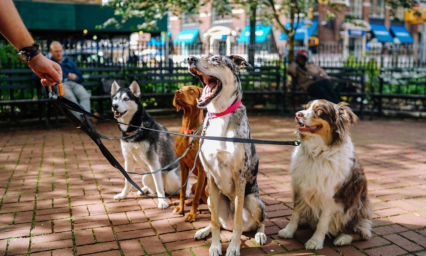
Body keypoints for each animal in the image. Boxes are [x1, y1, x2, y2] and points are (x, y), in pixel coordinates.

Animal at [110, 81, 181, 209]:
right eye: (115, 98)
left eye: (126, 99)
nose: (115, 106)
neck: (135, 129)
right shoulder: (128, 159)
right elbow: (127, 180)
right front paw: (123, 195)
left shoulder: (153, 161)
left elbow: (158, 185)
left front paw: (162, 202)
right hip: (146, 176)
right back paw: (144, 190)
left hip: (171, 176)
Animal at [172, 85, 207, 222]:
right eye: (180, 88)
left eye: (191, 90)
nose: (177, 92)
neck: (190, 131)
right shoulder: (183, 166)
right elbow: (182, 191)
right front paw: (180, 209)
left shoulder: (202, 168)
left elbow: (197, 197)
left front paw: (192, 214)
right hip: (194, 185)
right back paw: (189, 201)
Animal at [187, 54, 266, 256]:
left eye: (215, 59)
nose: (190, 58)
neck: (220, 115)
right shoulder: (210, 177)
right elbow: (214, 221)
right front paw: (215, 247)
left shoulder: (239, 177)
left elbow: (238, 221)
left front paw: (233, 247)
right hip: (209, 196)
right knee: (220, 223)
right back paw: (203, 231)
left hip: (253, 200)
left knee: (259, 221)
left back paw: (260, 234)